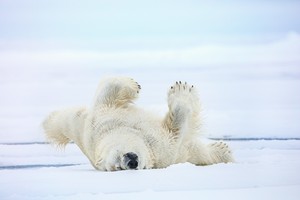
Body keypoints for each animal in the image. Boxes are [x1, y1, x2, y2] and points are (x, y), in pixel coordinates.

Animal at [43, 76, 233, 170]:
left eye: (118, 161)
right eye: (116, 168)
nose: (131, 163)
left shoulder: (101, 122)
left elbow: (109, 91)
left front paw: (133, 84)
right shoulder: (162, 150)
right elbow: (176, 130)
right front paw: (182, 92)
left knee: (61, 122)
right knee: (198, 153)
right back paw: (223, 150)